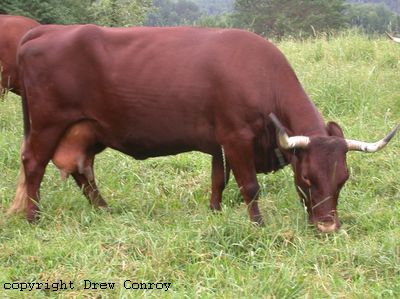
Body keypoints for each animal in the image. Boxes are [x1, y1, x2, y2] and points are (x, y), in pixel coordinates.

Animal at [7, 24, 398, 233]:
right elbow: (249, 185)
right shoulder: (237, 137)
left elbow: (218, 180)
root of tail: (44, 30)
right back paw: (33, 217)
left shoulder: (217, 142)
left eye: (343, 179)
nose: (328, 227)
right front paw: (257, 225)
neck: (260, 75)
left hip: (85, 130)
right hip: (48, 124)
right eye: (306, 178)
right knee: (34, 165)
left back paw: (104, 209)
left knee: (81, 170)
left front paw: (215, 212)